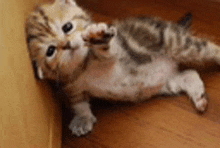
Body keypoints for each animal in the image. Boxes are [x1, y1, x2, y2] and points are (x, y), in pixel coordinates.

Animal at [25, 0, 220, 136]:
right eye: (51, 50)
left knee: (208, 48)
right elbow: (78, 102)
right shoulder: (71, 85)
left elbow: (106, 49)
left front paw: (97, 37)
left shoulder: (116, 52)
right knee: (190, 73)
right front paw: (83, 118)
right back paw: (199, 96)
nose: (66, 44)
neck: (82, 67)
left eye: (67, 27)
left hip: (177, 42)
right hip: (169, 81)